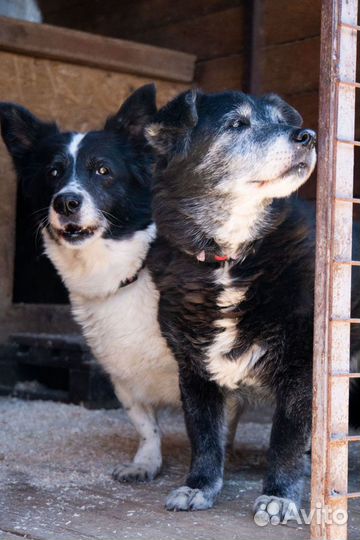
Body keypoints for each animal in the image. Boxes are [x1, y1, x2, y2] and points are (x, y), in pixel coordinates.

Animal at [0, 86, 242, 484]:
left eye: (103, 170)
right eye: (54, 172)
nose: (66, 202)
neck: (126, 271)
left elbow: (214, 427)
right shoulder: (124, 377)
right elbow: (147, 426)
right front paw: (146, 462)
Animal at [145, 89, 360, 520]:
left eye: (280, 120)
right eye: (236, 124)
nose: (308, 136)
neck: (231, 257)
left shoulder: (303, 369)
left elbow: (285, 439)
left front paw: (279, 495)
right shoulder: (194, 370)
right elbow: (205, 438)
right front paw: (199, 486)